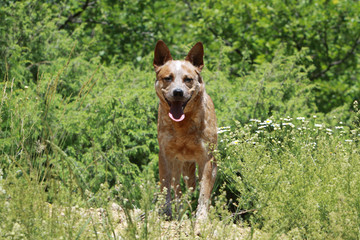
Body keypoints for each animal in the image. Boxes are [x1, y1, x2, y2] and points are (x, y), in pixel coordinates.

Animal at [152, 40, 217, 220]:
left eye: (188, 79)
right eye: (168, 78)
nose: (178, 92)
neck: (183, 126)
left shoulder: (206, 159)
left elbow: (204, 192)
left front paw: (201, 218)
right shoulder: (165, 156)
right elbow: (166, 187)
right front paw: (166, 212)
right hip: (178, 165)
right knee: (178, 189)